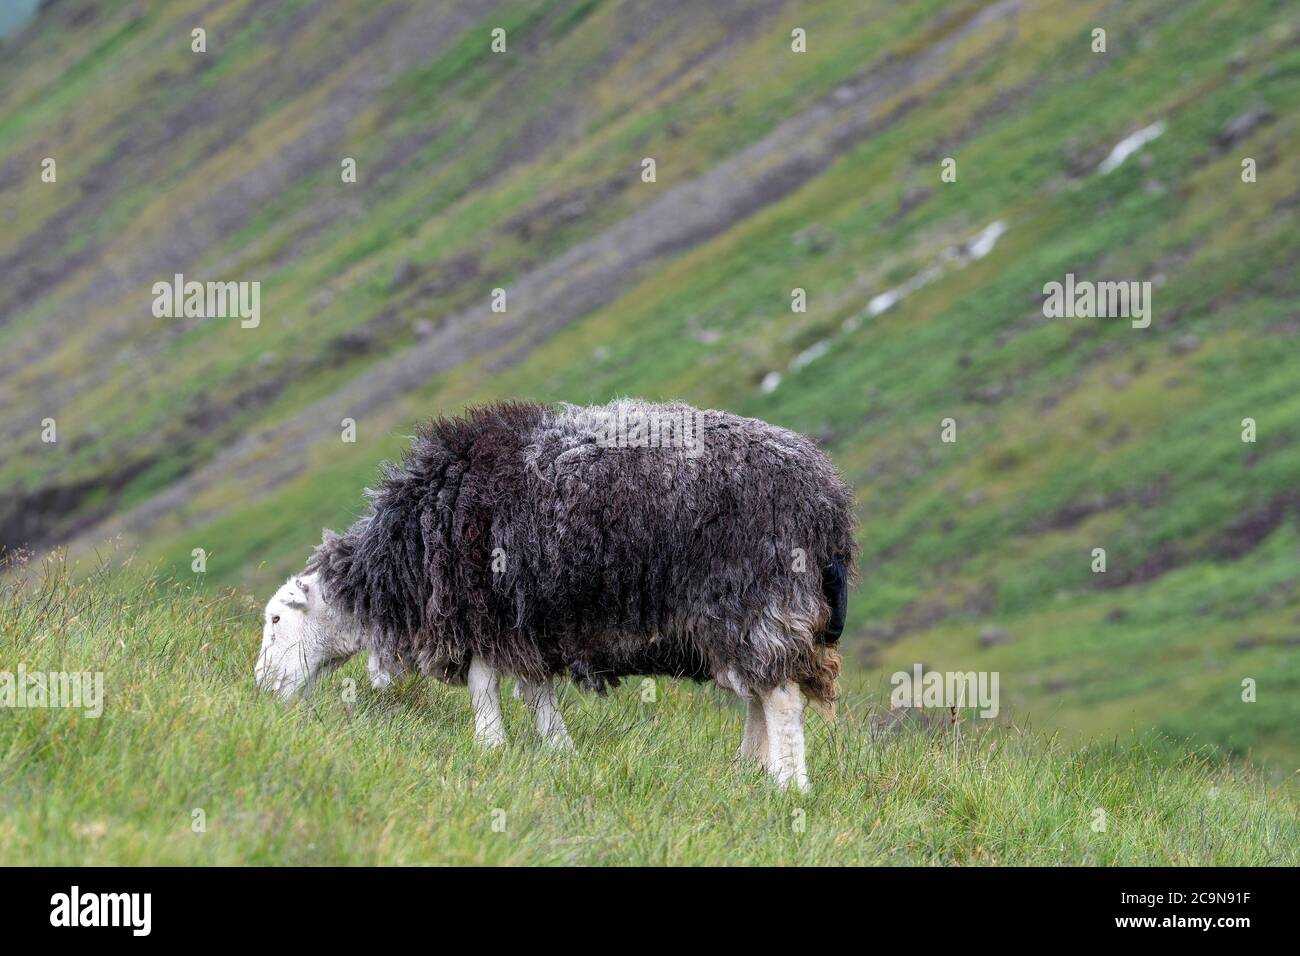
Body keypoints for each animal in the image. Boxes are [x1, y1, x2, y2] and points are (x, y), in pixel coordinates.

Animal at [258, 400, 857, 790]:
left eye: (275, 621)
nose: (260, 689)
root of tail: (829, 499)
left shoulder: (486, 614)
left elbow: (484, 685)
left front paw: (491, 745)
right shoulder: (526, 623)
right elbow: (535, 689)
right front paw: (559, 749)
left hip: (762, 600)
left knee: (780, 697)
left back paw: (788, 785)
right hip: (740, 618)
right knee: (757, 693)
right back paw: (748, 773)